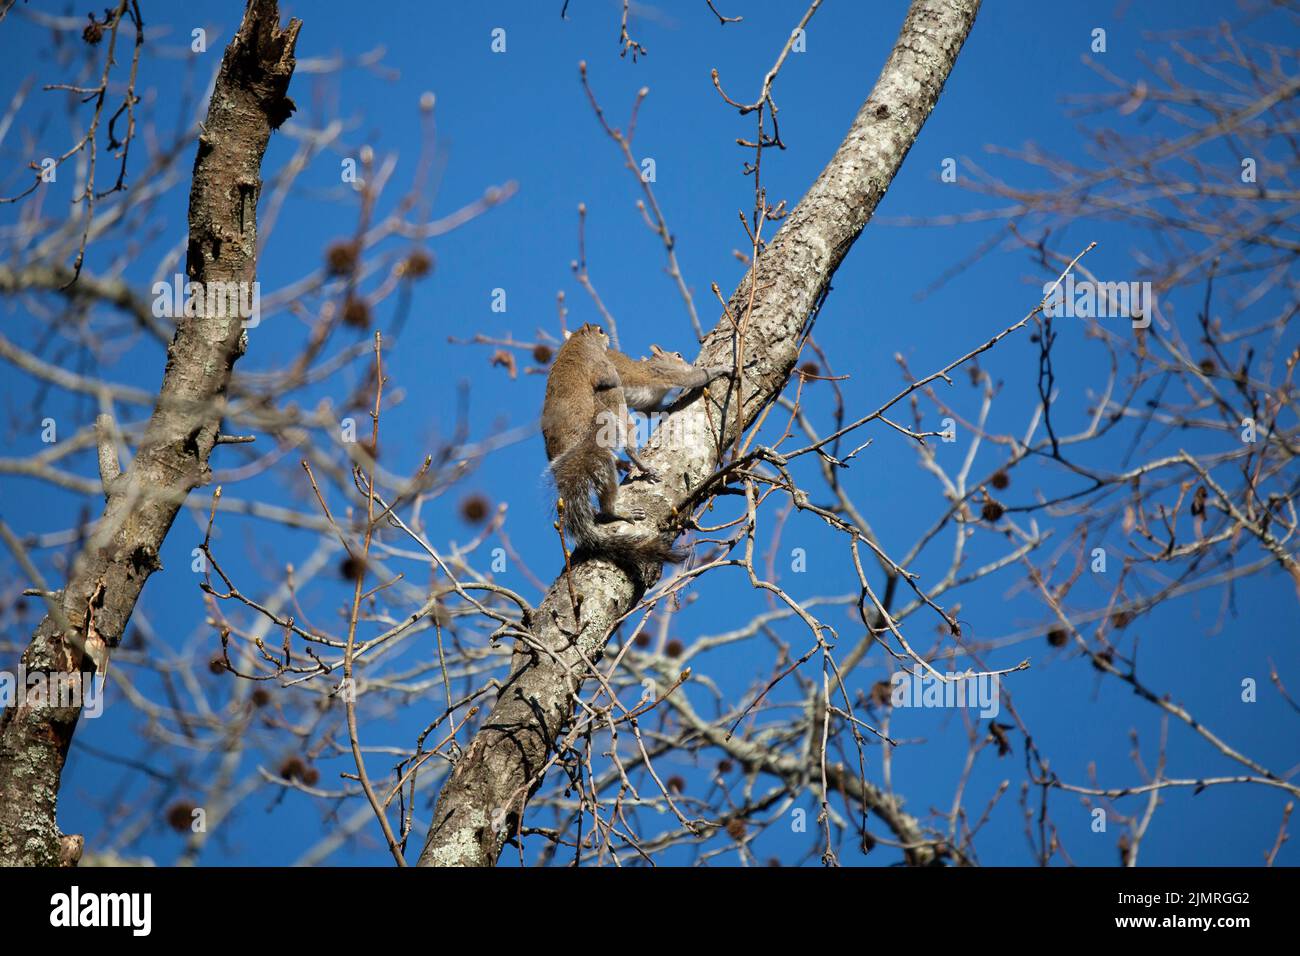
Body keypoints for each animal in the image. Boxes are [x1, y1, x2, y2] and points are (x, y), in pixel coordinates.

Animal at [541, 325, 730, 564]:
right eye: (677, 355)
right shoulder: (664, 374)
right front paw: (721, 368)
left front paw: (668, 408)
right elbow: (693, 379)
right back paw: (640, 467)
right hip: (612, 403)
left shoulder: (650, 402)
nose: (690, 362)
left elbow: (650, 410)